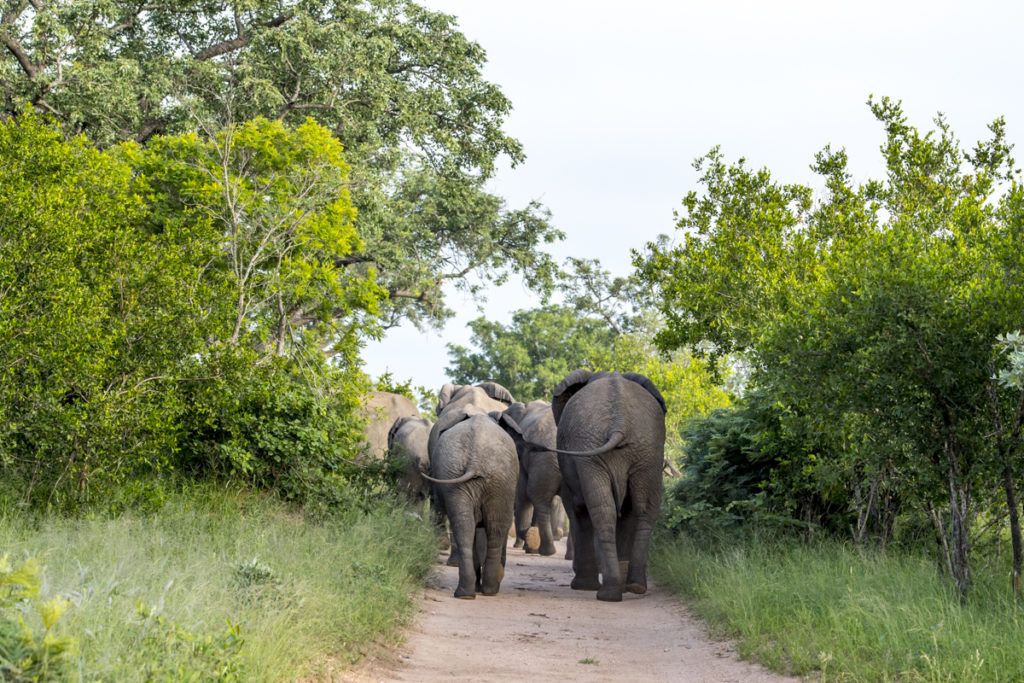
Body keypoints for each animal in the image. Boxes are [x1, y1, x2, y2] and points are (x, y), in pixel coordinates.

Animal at [421, 411, 520, 598]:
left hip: (486, 478)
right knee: (488, 527)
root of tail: (476, 460)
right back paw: (483, 590)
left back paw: (472, 592)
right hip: (490, 479)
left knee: (470, 526)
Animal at [552, 370, 663, 602]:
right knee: (643, 510)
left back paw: (607, 592)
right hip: (646, 452)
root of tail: (619, 421)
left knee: (600, 510)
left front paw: (582, 587)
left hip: (595, 451)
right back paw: (633, 587)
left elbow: (577, 507)